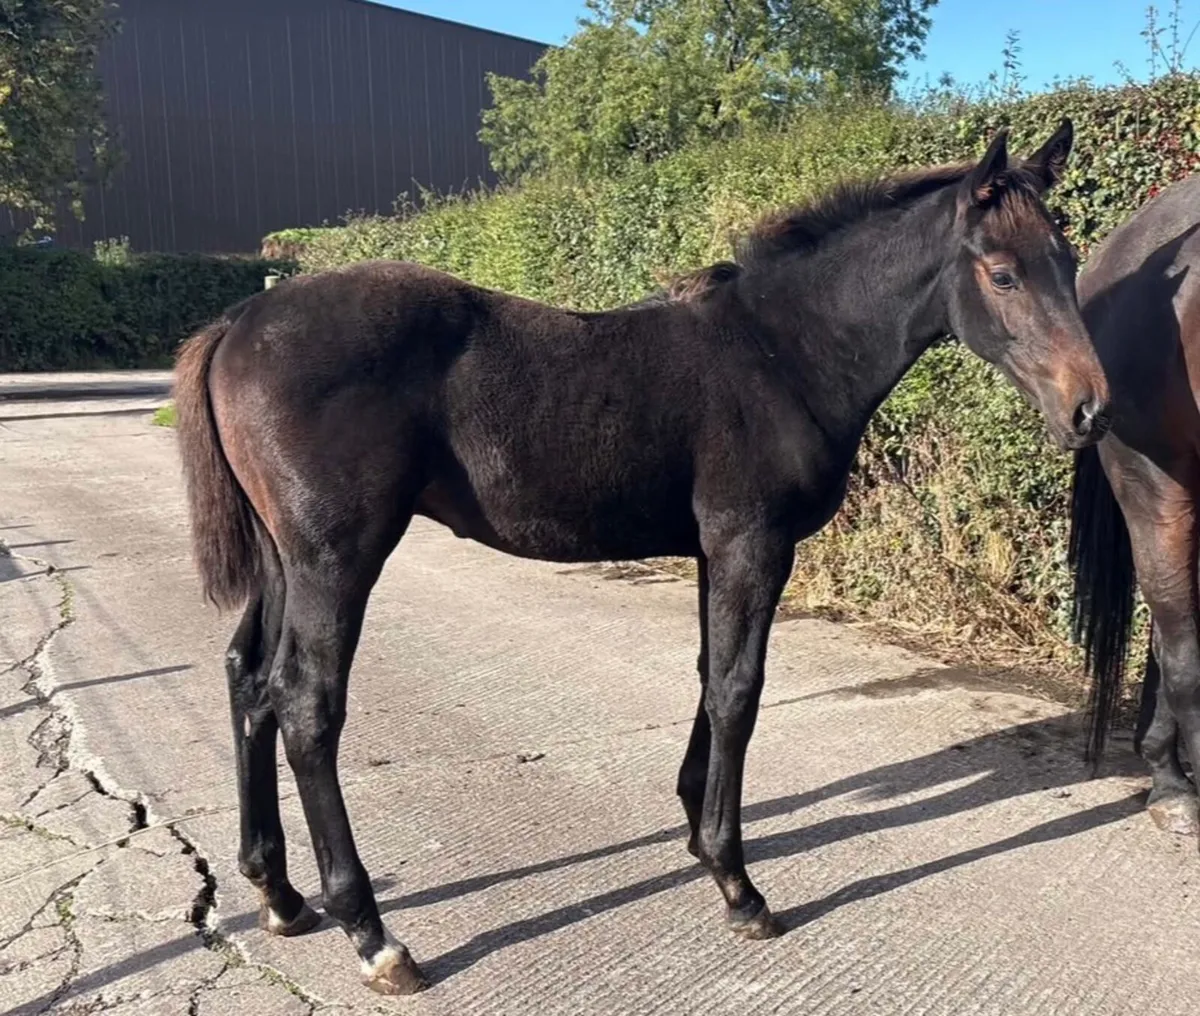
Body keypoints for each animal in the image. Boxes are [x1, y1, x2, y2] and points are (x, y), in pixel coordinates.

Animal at [173, 120, 1109, 995]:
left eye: (1067, 258)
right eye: (1002, 274)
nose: (1091, 409)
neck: (783, 352)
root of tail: (239, 321)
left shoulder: (712, 550)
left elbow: (707, 673)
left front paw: (696, 834)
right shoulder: (751, 542)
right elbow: (737, 690)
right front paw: (737, 884)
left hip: (284, 561)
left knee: (249, 679)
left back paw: (279, 894)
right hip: (336, 559)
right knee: (306, 705)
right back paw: (373, 935)